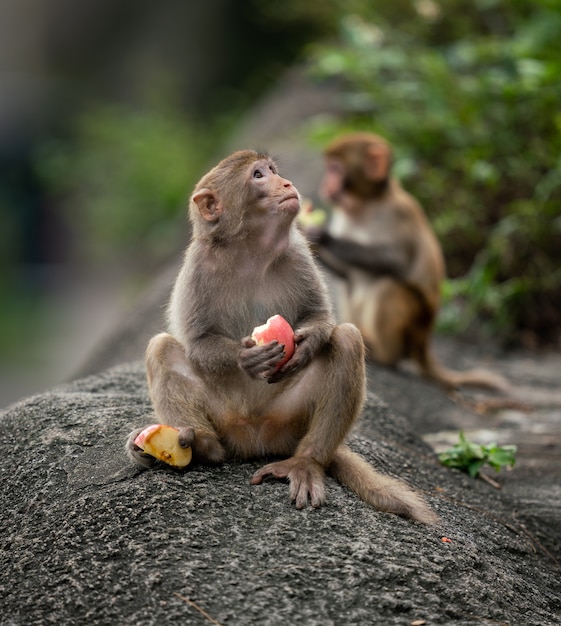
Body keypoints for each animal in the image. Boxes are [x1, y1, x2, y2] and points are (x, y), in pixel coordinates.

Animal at [127, 147, 438, 520]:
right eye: (258, 176)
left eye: (272, 170)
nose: (286, 182)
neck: (250, 250)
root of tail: (255, 439)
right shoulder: (197, 267)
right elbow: (199, 342)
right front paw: (245, 358)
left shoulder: (298, 252)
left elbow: (320, 316)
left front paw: (306, 346)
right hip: (225, 420)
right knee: (161, 348)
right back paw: (200, 448)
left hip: (289, 419)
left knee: (348, 339)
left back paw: (306, 462)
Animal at [304, 130, 510, 390]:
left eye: (335, 169)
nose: (325, 184)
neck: (364, 205)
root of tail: (424, 341)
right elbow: (346, 273)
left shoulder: (398, 213)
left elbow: (396, 260)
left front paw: (321, 235)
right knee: (349, 284)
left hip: (415, 324)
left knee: (389, 285)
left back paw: (381, 354)